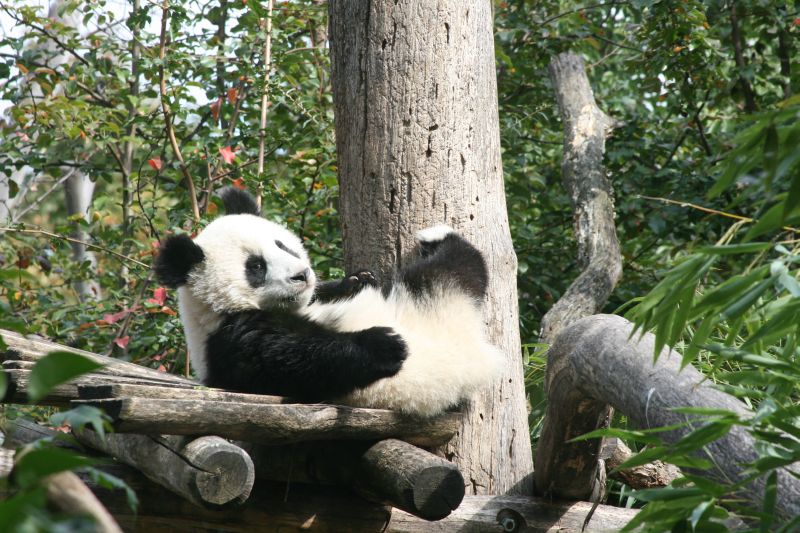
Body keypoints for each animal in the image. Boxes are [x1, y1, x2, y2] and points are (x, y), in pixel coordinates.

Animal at [155, 187, 500, 416]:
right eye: (256, 267)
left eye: (282, 245)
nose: (301, 275)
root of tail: (475, 356)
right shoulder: (234, 339)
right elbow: (294, 358)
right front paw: (385, 345)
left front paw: (358, 279)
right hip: (434, 302)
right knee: (454, 268)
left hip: (435, 299)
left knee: (460, 266)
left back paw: (437, 237)